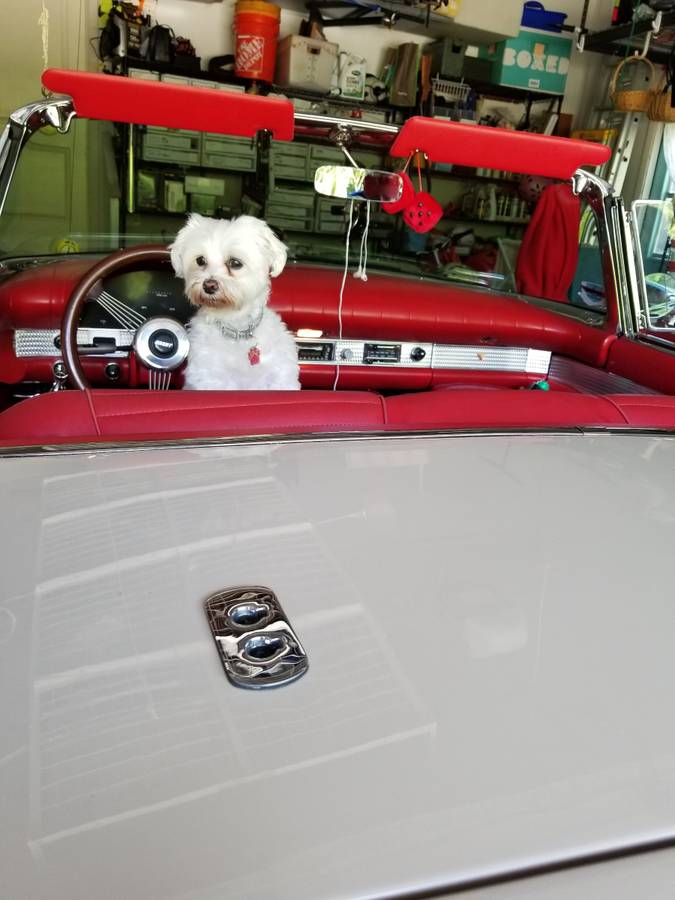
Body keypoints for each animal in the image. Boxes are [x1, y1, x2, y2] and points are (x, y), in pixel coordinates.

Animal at [172, 216, 302, 392]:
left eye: (235, 262)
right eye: (200, 260)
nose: (209, 286)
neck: (237, 329)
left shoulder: (280, 377)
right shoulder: (210, 377)